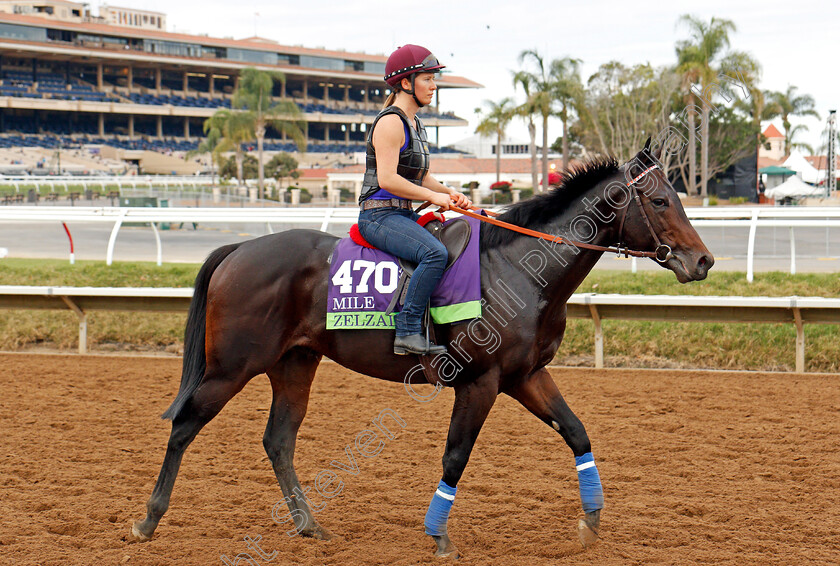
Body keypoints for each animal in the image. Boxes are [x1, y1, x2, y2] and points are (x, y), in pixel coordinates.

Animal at [131, 143, 716, 560]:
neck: (520, 270)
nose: (703, 261)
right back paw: (148, 519)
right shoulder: (480, 382)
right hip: (231, 367)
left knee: (278, 440)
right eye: (660, 200)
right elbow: (456, 455)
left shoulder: (526, 376)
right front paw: (439, 537)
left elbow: (576, 432)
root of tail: (239, 248)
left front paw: (591, 522)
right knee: (185, 425)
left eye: (679, 197)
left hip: (294, 364)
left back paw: (308, 523)